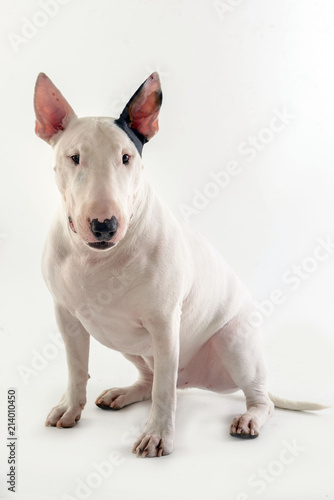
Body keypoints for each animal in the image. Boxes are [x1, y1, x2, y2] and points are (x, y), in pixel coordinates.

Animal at [34, 71, 326, 458]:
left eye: (127, 157)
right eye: (74, 157)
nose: (104, 225)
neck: (98, 258)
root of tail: (192, 379)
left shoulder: (164, 321)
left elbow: (163, 391)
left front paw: (158, 436)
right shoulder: (66, 317)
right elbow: (76, 367)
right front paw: (70, 408)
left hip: (233, 343)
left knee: (249, 396)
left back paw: (249, 419)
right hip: (130, 346)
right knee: (153, 379)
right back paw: (124, 393)